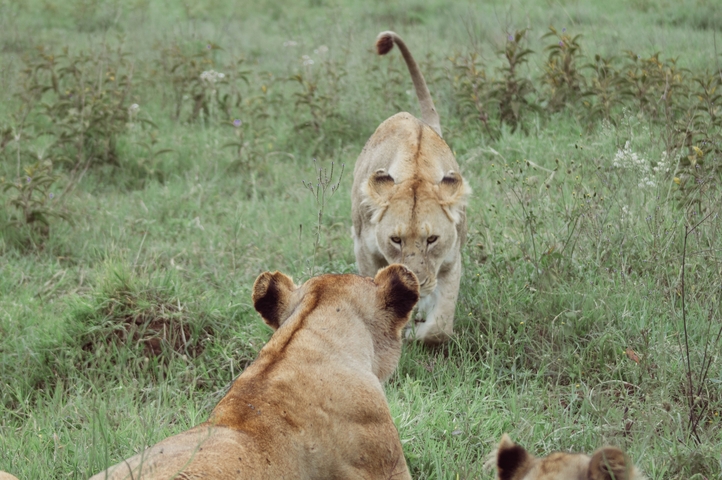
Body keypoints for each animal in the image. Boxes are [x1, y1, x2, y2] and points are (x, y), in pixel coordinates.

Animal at [352, 31, 470, 344]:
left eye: (432, 239)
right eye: (395, 240)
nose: (416, 283)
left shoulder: (451, 259)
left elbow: (440, 326)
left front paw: (417, 332)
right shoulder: (364, 250)